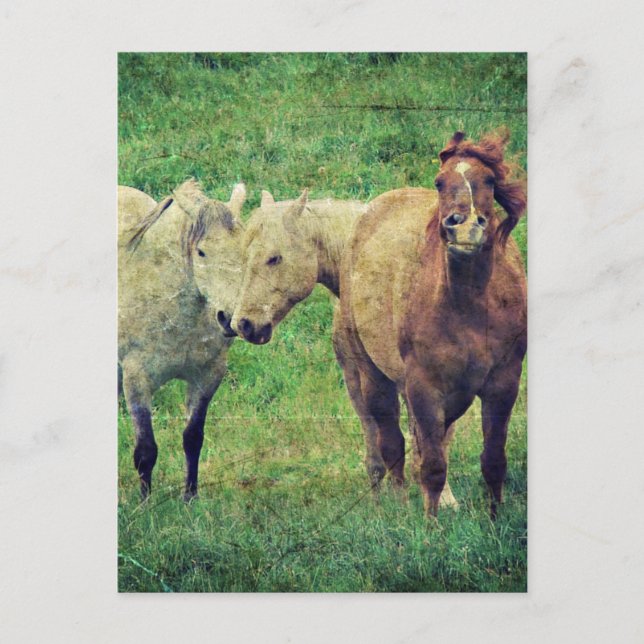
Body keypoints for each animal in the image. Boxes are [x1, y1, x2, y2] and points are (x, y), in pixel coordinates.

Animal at [118, 179, 246, 500]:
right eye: (201, 252)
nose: (230, 319)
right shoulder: (136, 378)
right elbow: (145, 450)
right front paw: (145, 504)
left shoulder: (208, 375)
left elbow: (192, 438)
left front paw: (191, 498)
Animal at [335, 131, 527, 518]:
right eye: (440, 182)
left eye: (489, 180)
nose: (464, 227)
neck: (468, 306)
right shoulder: (424, 386)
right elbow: (432, 465)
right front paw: (430, 524)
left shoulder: (503, 382)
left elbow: (493, 459)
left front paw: (495, 518)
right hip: (373, 376)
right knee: (392, 444)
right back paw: (398, 506)